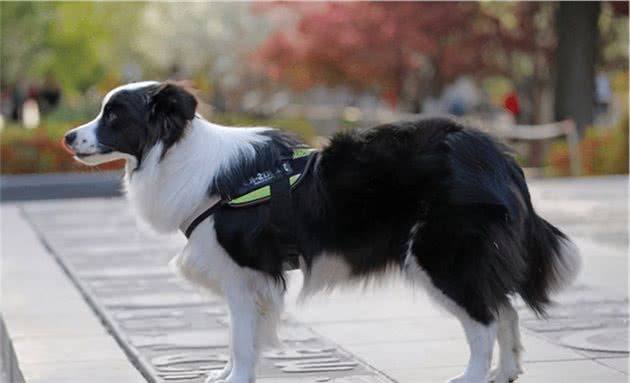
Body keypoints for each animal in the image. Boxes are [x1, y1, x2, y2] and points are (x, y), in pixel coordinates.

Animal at [64, 82, 584, 383]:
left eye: (114, 116)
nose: (68, 137)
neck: (176, 153)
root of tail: (497, 154)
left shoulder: (243, 272)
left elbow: (239, 336)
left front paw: (236, 377)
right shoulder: (251, 279)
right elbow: (243, 335)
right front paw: (228, 372)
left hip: (440, 256)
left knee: (483, 321)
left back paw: (473, 376)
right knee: (505, 310)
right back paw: (507, 372)